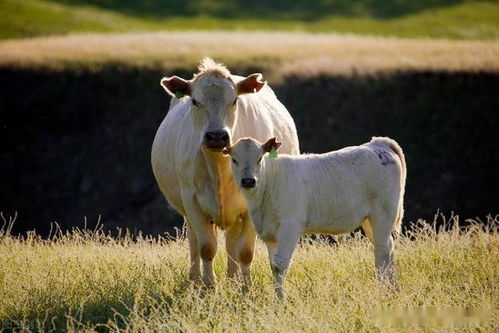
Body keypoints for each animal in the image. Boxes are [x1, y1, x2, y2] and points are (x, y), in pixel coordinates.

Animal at [152, 57, 298, 286]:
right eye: (195, 101)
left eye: (235, 100)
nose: (216, 136)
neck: (219, 168)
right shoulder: (191, 201)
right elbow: (207, 247)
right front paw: (209, 286)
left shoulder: (251, 208)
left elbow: (245, 251)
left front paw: (246, 287)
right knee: (195, 242)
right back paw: (195, 279)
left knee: (232, 244)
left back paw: (233, 278)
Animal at [226, 135, 406, 296]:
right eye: (234, 160)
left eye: (259, 159)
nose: (248, 181)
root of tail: (378, 143)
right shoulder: (270, 234)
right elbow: (273, 265)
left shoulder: (290, 228)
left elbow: (280, 266)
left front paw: (279, 300)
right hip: (370, 221)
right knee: (388, 248)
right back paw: (393, 289)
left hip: (383, 214)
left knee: (382, 254)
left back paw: (383, 291)